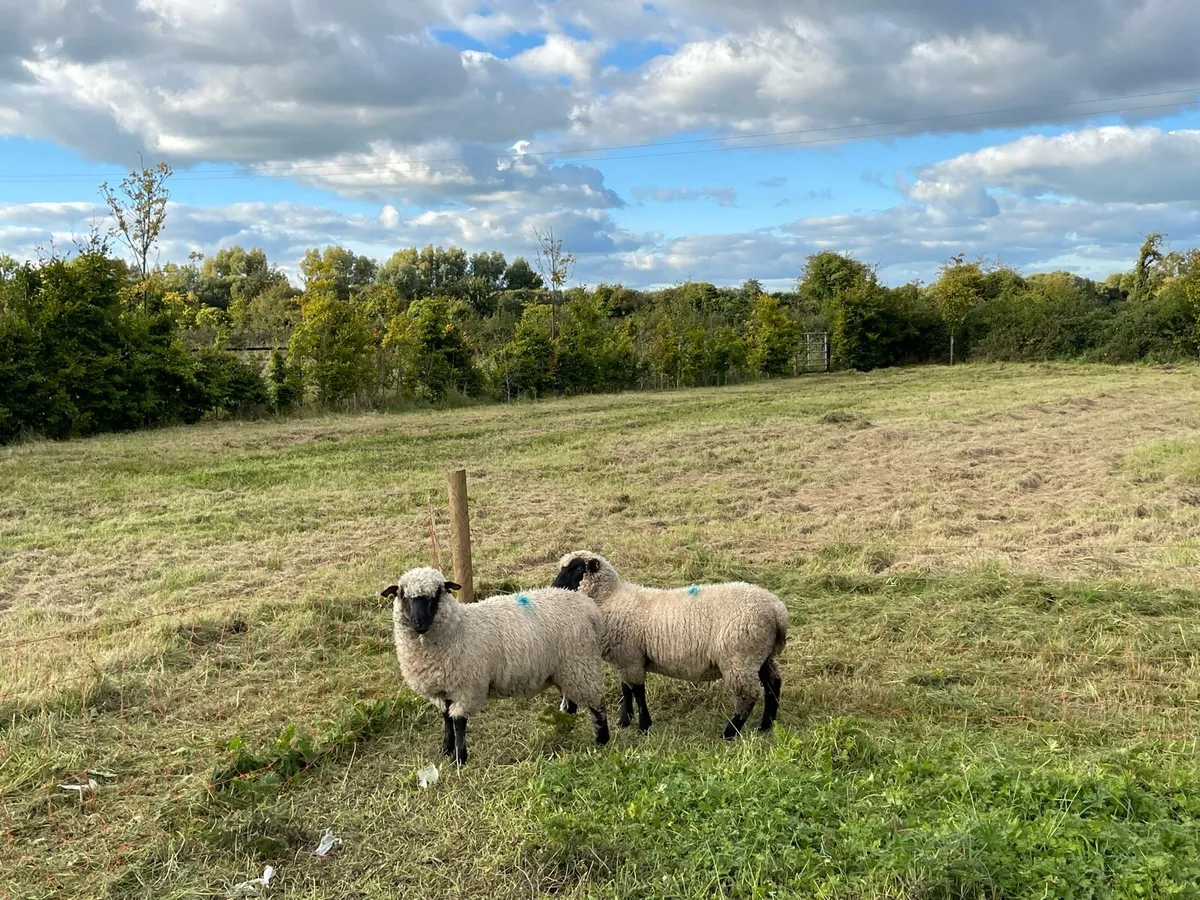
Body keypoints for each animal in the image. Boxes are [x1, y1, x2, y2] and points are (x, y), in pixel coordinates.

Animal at [381, 566, 610, 765]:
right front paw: (446, 749)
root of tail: (587, 606)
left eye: (437, 593)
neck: (458, 629)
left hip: (580, 663)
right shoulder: (443, 687)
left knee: (597, 703)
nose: (419, 622)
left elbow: (458, 722)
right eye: (402, 594)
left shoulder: (467, 688)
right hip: (566, 667)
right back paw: (568, 721)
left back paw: (602, 740)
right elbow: (446, 718)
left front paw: (459, 758)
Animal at [551, 551, 788, 740]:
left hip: (739, 657)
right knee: (773, 684)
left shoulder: (631, 658)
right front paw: (624, 721)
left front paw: (644, 726)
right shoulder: (625, 659)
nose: (553, 588)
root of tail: (776, 610)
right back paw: (767, 725)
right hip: (760, 654)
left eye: (577, 569)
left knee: (748, 695)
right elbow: (626, 689)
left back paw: (730, 732)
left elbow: (638, 692)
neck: (610, 598)